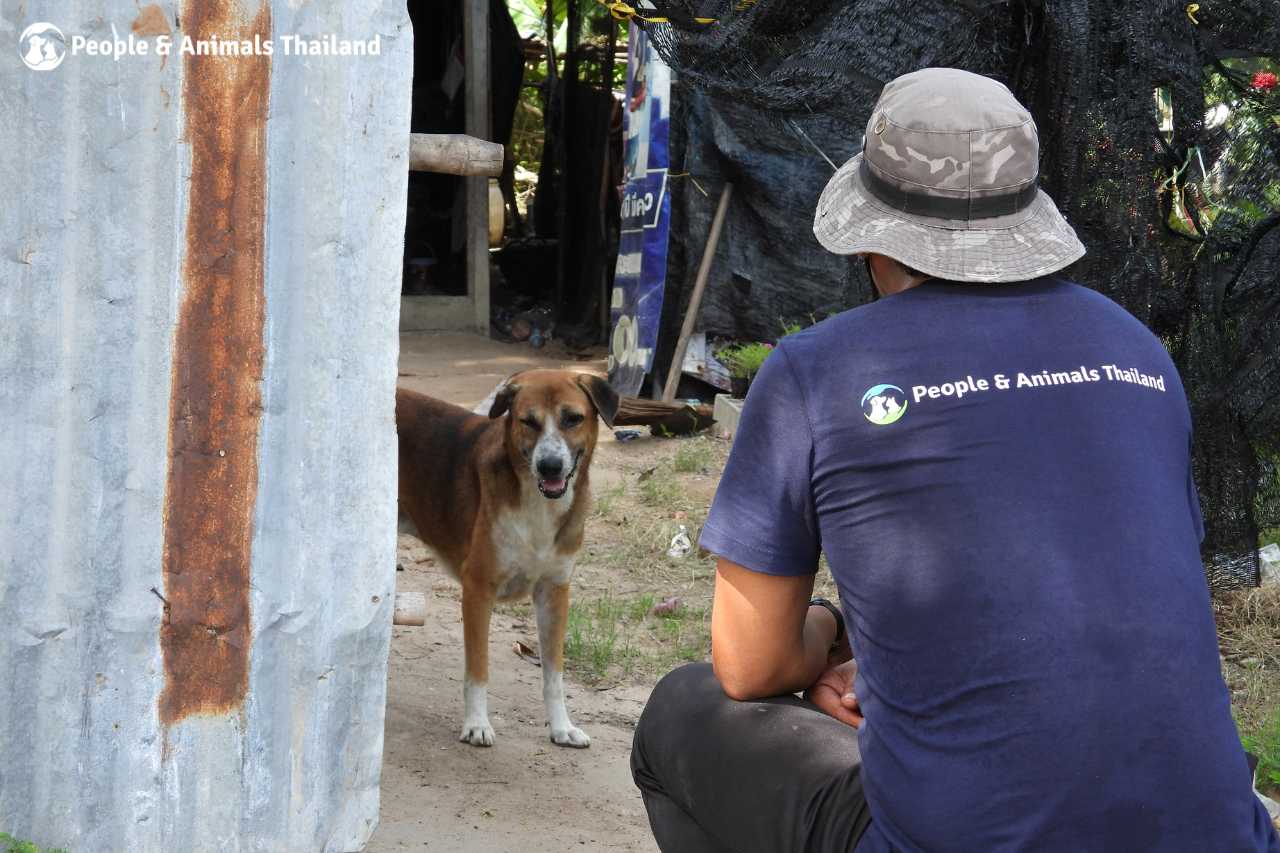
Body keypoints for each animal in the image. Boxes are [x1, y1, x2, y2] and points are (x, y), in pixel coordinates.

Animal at [399, 368, 619, 747]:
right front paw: (476, 724)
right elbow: (478, 669)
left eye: (573, 418)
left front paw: (561, 727)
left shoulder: (554, 592)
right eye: (527, 421)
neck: (538, 505)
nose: (550, 466)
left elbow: (554, 674)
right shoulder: (478, 589)